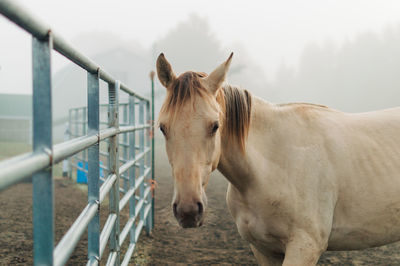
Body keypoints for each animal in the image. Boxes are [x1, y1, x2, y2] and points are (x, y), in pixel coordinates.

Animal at [155, 53, 400, 264]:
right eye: (162, 128)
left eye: (215, 126)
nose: (188, 210)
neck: (272, 168)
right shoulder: (264, 249)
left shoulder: (304, 247)